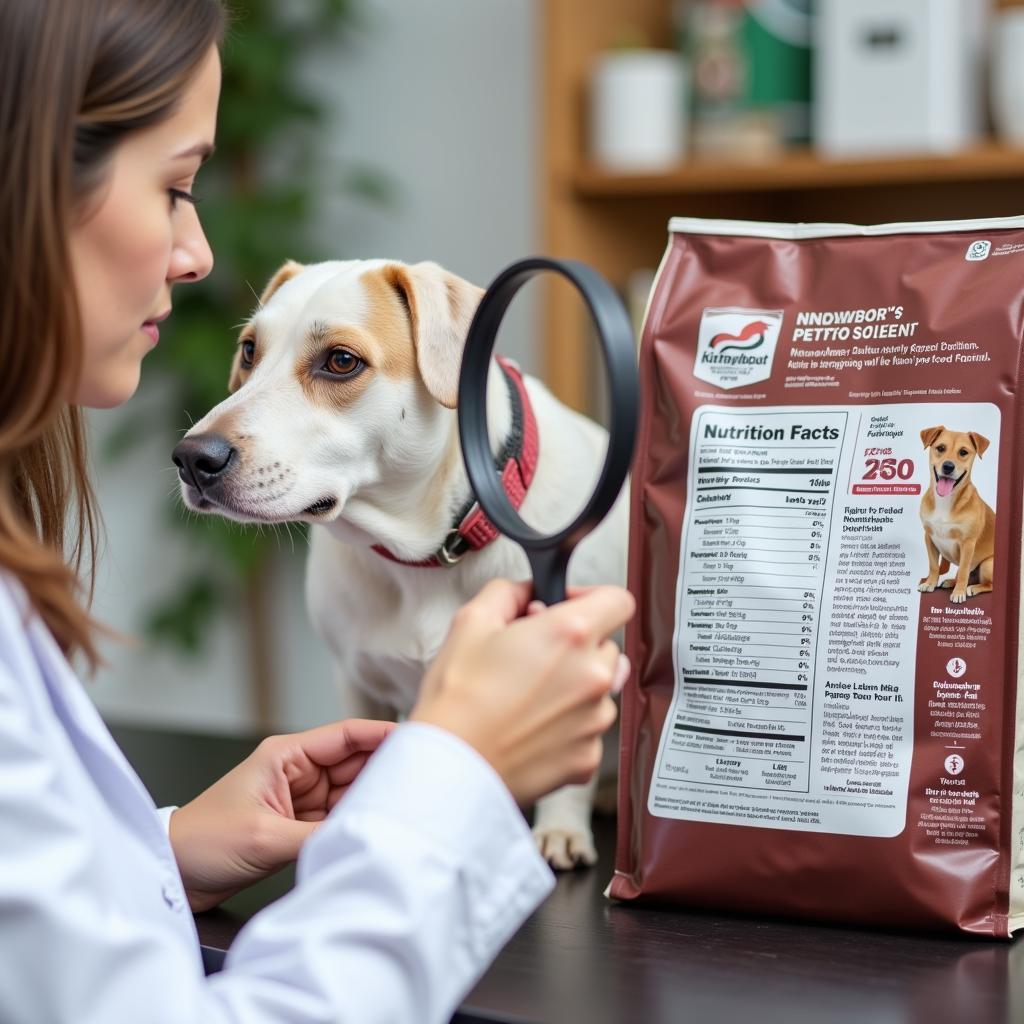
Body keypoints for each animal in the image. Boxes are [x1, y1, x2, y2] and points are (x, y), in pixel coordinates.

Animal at [172, 256, 626, 864]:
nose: (192, 458)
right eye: (249, 350)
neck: (430, 551)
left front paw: (560, 826)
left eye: (341, 361)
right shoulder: (357, 684)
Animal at [917, 428, 995, 602]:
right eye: (940, 448)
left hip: (987, 564)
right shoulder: (929, 537)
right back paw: (951, 582)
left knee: (988, 584)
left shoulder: (968, 543)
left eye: (963, 452)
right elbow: (934, 565)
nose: (948, 466)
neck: (945, 501)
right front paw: (930, 583)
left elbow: (964, 570)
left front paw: (959, 593)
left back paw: (971, 588)